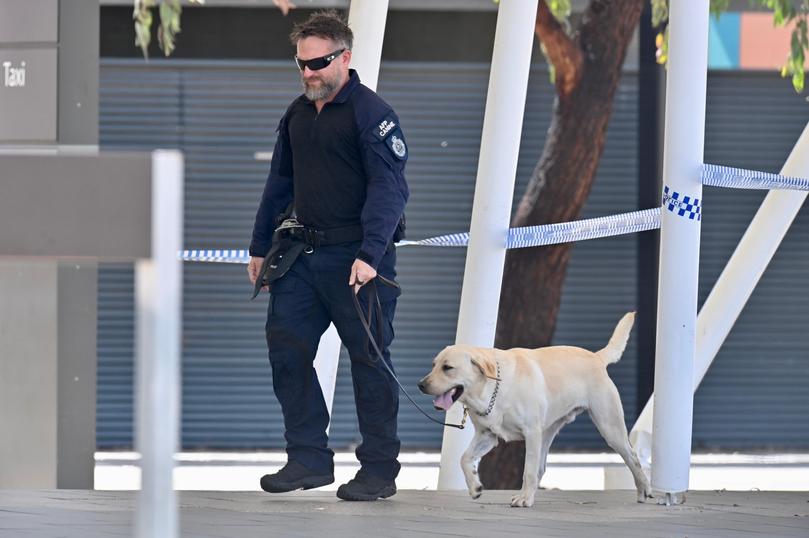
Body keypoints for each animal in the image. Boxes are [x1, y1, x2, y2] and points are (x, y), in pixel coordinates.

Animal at [416, 312, 652, 504]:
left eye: (447, 368)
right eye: (433, 365)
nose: (420, 385)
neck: (492, 390)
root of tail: (596, 357)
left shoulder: (531, 433)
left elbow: (527, 471)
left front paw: (524, 500)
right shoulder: (487, 435)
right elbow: (464, 459)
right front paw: (475, 487)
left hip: (609, 428)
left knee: (633, 458)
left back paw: (644, 490)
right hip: (547, 433)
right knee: (541, 467)